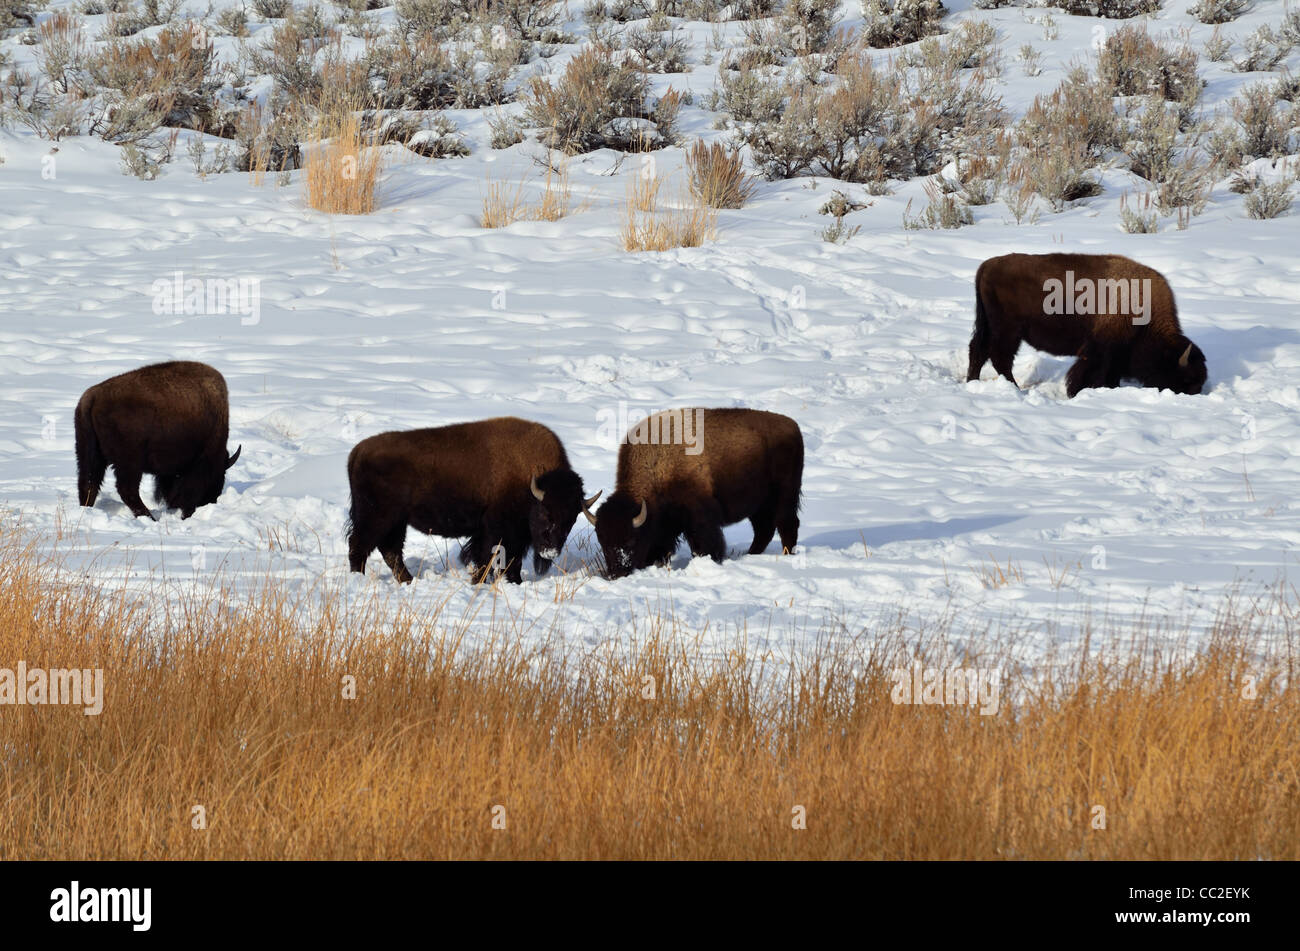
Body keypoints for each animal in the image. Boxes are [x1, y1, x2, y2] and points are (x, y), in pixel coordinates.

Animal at [74, 361, 244, 519]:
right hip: (129, 462)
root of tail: (92, 397)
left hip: (89, 455)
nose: (212, 500)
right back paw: (150, 517)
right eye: (219, 476)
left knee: (88, 484)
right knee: (126, 489)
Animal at [340, 418, 595, 582]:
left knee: (390, 550)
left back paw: (408, 581)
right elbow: (488, 557)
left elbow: (511, 562)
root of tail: (356, 452)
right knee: (359, 545)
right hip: (377, 518)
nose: (550, 551)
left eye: (572, 519)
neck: (531, 479)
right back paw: (359, 579)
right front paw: (480, 582)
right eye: (545, 512)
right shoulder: (497, 530)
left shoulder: (516, 536)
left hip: (396, 521)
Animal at [590, 405, 800, 576]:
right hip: (759, 506)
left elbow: (706, 543)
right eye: (602, 542)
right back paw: (751, 554)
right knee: (764, 530)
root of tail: (792, 426)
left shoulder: (699, 516)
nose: (617, 574)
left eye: (631, 540)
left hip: (785, 496)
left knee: (786, 525)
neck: (658, 467)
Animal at [967, 252, 1206, 397]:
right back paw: (1015, 389)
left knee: (978, 351)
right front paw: (1076, 393)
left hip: (990, 326)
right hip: (1008, 330)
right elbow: (1088, 373)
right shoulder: (1100, 350)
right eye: (1185, 379)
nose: (1195, 393)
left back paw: (972, 382)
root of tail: (986, 266)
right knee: (999, 357)